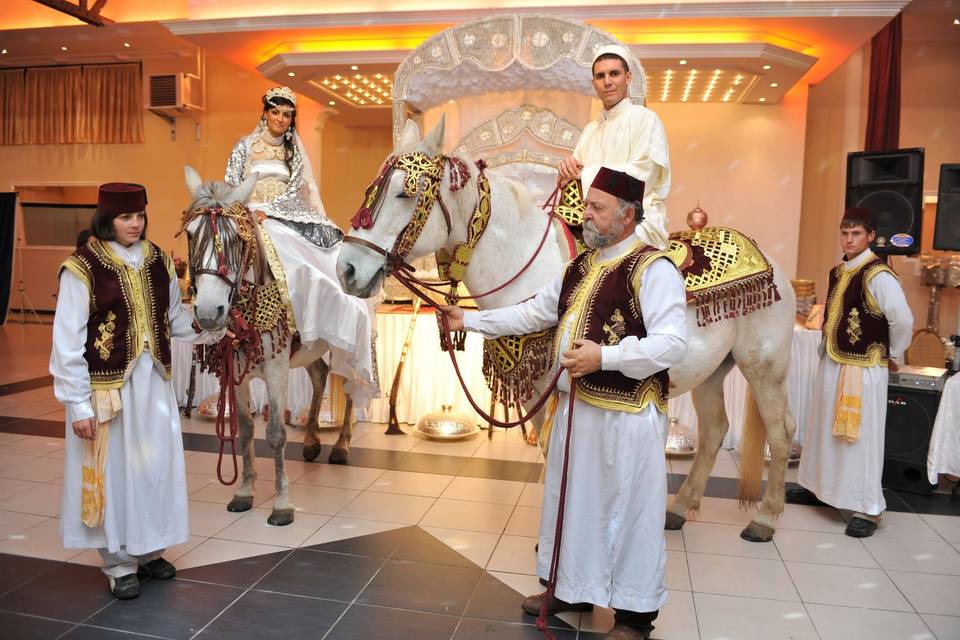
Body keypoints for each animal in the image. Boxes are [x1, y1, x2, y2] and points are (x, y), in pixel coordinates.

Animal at [182, 165, 354, 524]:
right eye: (191, 235)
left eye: (237, 238)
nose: (208, 312)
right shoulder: (237, 372)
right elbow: (246, 430)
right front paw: (244, 491)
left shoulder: (276, 371)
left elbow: (275, 433)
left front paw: (282, 503)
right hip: (309, 349)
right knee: (320, 376)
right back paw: (312, 442)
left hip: (349, 344)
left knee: (350, 387)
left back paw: (342, 446)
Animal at [340, 119, 804, 540]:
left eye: (406, 192)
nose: (347, 268)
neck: (524, 263)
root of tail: (771, 264)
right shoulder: (536, 389)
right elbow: (550, 450)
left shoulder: (553, 384)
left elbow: (554, 449)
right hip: (713, 372)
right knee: (713, 433)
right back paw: (679, 509)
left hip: (764, 367)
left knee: (781, 432)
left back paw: (765, 519)